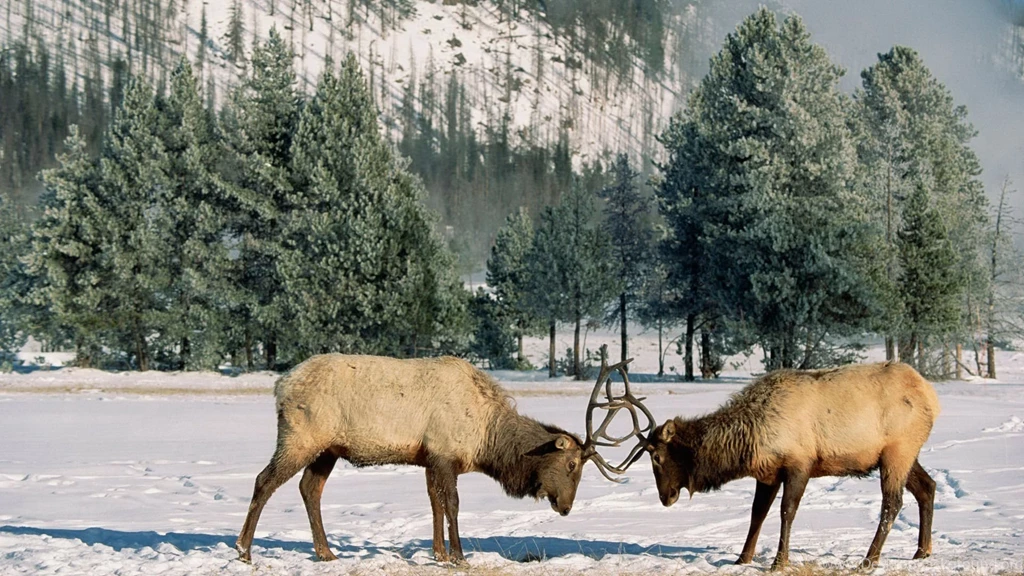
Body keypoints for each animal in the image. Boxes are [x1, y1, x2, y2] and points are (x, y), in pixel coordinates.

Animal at [235, 353, 592, 565]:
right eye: (572, 464)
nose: (566, 507)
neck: (486, 441)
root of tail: (280, 385)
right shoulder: (444, 452)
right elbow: (452, 504)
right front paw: (459, 556)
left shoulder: (429, 457)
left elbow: (435, 503)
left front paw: (439, 554)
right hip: (301, 436)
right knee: (264, 481)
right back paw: (244, 550)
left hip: (328, 448)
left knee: (310, 488)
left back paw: (326, 552)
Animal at [584, 359, 941, 571]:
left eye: (657, 457)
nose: (665, 496)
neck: (750, 438)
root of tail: (932, 398)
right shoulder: (767, 474)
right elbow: (757, 513)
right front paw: (742, 558)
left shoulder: (800, 462)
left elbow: (786, 512)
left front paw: (779, 562)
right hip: (902, 453)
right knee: (928, 486)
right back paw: (922, 550)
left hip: (897, 450)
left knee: (891, 502)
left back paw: (869, 560)